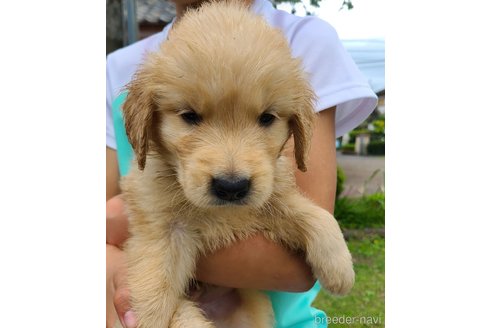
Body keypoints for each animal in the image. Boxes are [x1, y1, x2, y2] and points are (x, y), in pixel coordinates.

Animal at [121, 1, 356, 326]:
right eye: (190, 116)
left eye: (267, 118)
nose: (231, 186)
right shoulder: (161, 233)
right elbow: (156, 298)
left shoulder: (268, 199)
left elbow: (312, 213)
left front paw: (339, 267)